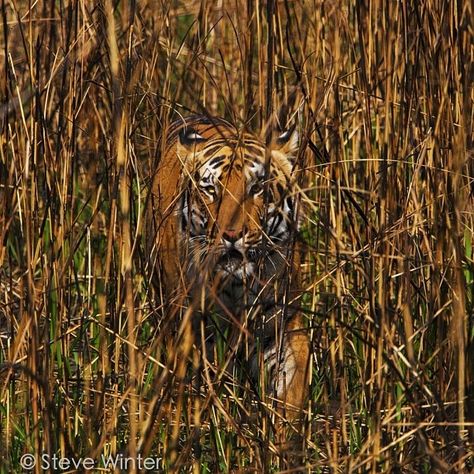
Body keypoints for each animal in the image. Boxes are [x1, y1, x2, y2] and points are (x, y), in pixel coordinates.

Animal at [146, 114, 312, 422]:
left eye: (257, 188)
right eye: (211, 190)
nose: (232, 235)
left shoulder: (280, 323)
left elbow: (290, 388)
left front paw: (283, 431)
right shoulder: (192, 328)